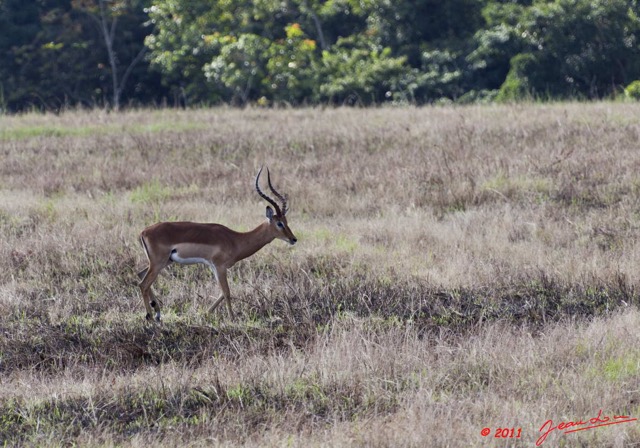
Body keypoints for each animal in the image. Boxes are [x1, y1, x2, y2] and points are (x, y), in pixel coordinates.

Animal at [138, 166, 298, 320]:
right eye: (279, 223)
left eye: (286, 221)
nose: (293, 239)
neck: (235, 239)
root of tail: (144, 232)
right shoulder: (220, 266)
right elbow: (226, 292)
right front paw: (232, 319)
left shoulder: (214, 266)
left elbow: (221, 292)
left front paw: (205, 314)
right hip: (158, 263)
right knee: (143, 284)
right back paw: (150, 317)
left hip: (164, 262)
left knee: (140, 275)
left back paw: (157, 314)